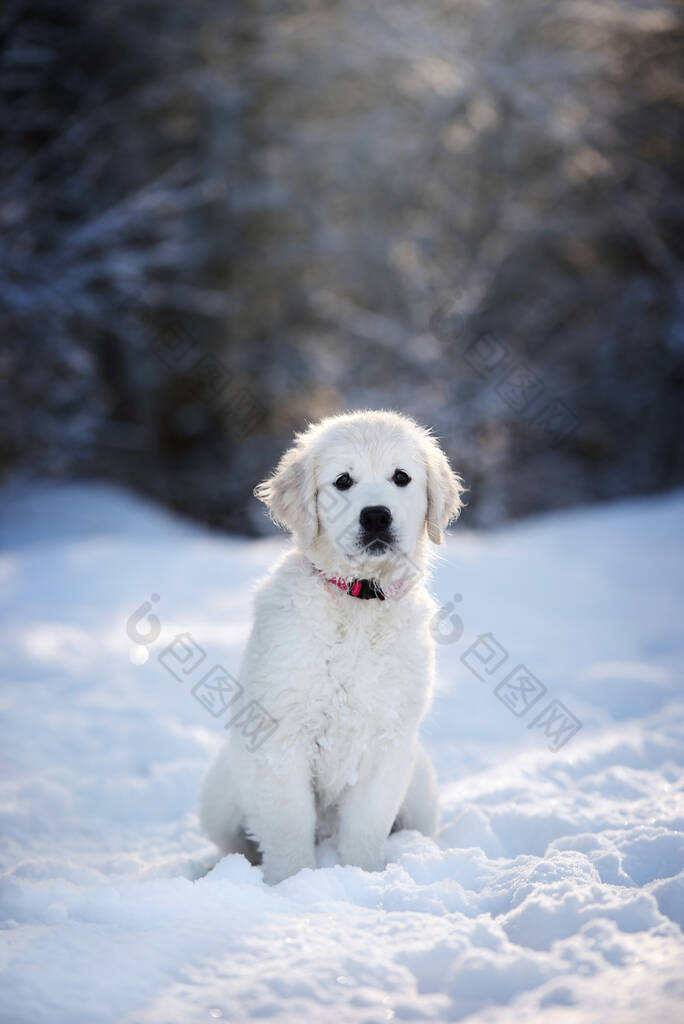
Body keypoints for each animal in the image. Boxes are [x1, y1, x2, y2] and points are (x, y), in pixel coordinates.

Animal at [200, 411, 462, 884]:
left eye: (401, 477)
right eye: (343, 481)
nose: (375, 517)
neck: (358, 599)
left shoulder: (388, 742)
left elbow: (366, 824)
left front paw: (363, 877)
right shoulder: (281, 736)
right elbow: (288, 826)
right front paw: (293, 884)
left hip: (421, 792)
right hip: (221, 795)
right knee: (238, 841)